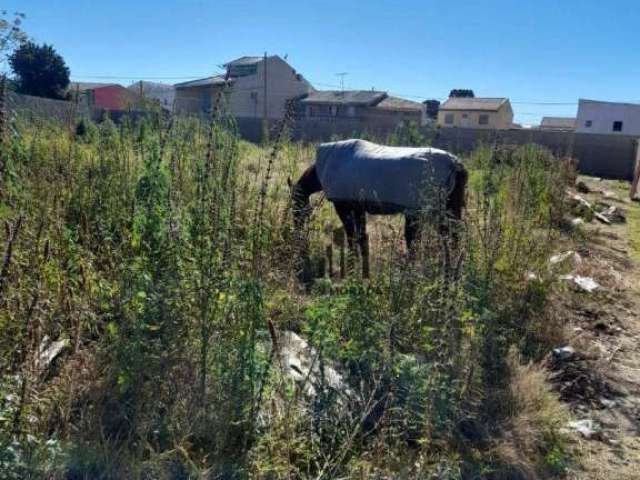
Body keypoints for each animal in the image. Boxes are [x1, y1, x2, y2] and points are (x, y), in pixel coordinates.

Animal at [290, 139, 464, 280]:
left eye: (295, 205)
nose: (297, 231)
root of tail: (455, 164)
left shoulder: (343, 207)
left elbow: (351, 236)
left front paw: (352, 266)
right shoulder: (358, 208)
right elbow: (361, 236)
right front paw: (362, 266)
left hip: (421, 214)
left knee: (419, 242)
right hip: (448, 212)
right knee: (452, 238)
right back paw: (451, 272)